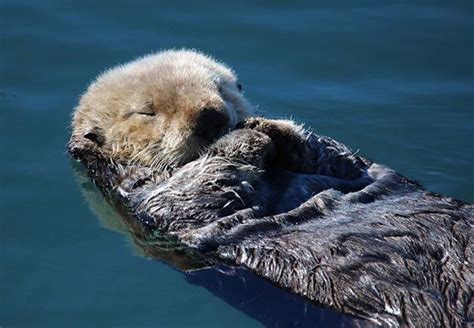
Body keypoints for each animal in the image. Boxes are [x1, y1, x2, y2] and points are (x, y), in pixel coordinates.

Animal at [68, 50, 472, 326]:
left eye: (221, 88)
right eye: (146, 112)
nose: (211, 114)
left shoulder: (347, 170)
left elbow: (333, 157)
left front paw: (271, 127)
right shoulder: (149, 199)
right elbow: (192, 192)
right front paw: (247, 138)